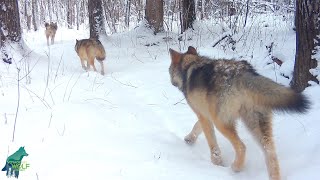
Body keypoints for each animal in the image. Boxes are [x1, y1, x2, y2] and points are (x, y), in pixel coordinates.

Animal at [168, 45, 310, 179]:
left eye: (169, 70)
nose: (171, 81)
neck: (189, 65)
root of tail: (241, 72)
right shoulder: (206, 115)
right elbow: (196, 127)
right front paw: (189, 139)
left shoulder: (204, 115)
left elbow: (212, 145)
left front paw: (216, 163)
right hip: (257, 127)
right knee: (270, 153)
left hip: (222, 123)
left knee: (242, 147)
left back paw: (236, 168)